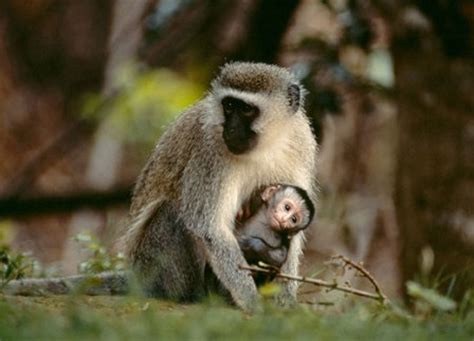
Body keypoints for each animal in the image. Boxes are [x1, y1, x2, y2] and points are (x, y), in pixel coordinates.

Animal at [122, 61, 316, 310]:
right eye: (229, 106)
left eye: (247, 110)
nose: (231, 130)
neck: (265, 145)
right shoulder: (210, 150)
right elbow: (209, 228)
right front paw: (251, 300)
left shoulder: (300, 144)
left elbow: (295, 234)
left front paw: (286, 298)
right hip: (150, 267)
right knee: (170, 211)